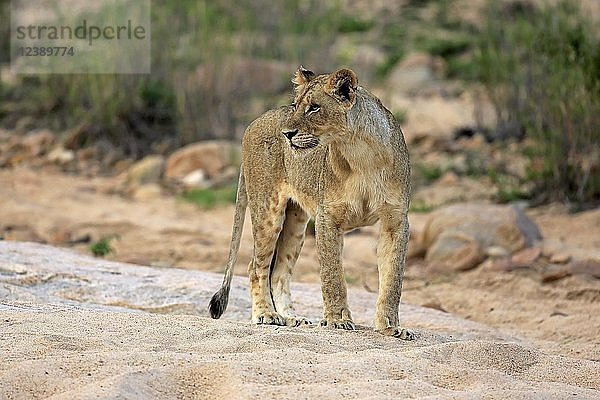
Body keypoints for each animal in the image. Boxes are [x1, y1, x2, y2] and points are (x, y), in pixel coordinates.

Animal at [209, 67, 414, 340]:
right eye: (296, 106)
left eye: (314, 108)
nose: (286, 134)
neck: (361, 153)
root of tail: (254, 121)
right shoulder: (328, 218)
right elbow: (332, 274)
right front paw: (337, 320)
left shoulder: (396, 220)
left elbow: (393, 278)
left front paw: (391, 327)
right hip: (268, 209)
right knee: (255, 266)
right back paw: (266, 315)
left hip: (295, 221)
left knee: (279, 272)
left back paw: (292, 318)